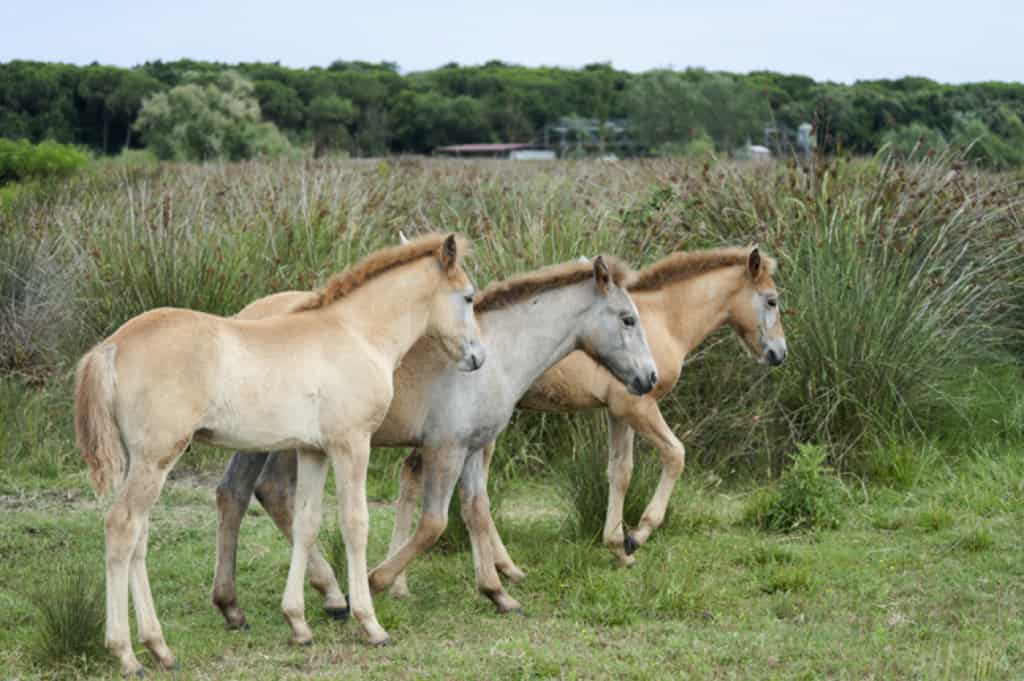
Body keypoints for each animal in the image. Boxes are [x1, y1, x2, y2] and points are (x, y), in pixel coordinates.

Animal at [74, 233, 483, 676]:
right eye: (468, 297)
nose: (478, 357)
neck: (356, 333)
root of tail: (112, 346)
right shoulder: (351, 443)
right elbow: (355, 524)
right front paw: (370, 623)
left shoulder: (312, 450)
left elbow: (306, 523)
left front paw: (299, 623)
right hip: (157, 458)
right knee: (122, 527)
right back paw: (126, 653)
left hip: (142, 462)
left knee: (140, 537)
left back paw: (160, 648)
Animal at [209, 254, 659, 628]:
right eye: (627, 319)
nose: (649, 378)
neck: (495, 354)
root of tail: (245, 315)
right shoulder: (447, 448)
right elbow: (434, 523)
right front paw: (378, 580)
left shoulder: (473, 448)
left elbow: (476, 511)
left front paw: (497, 592)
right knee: (270, 493)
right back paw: (330, 593)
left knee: (237, 494)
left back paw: (237, 605)